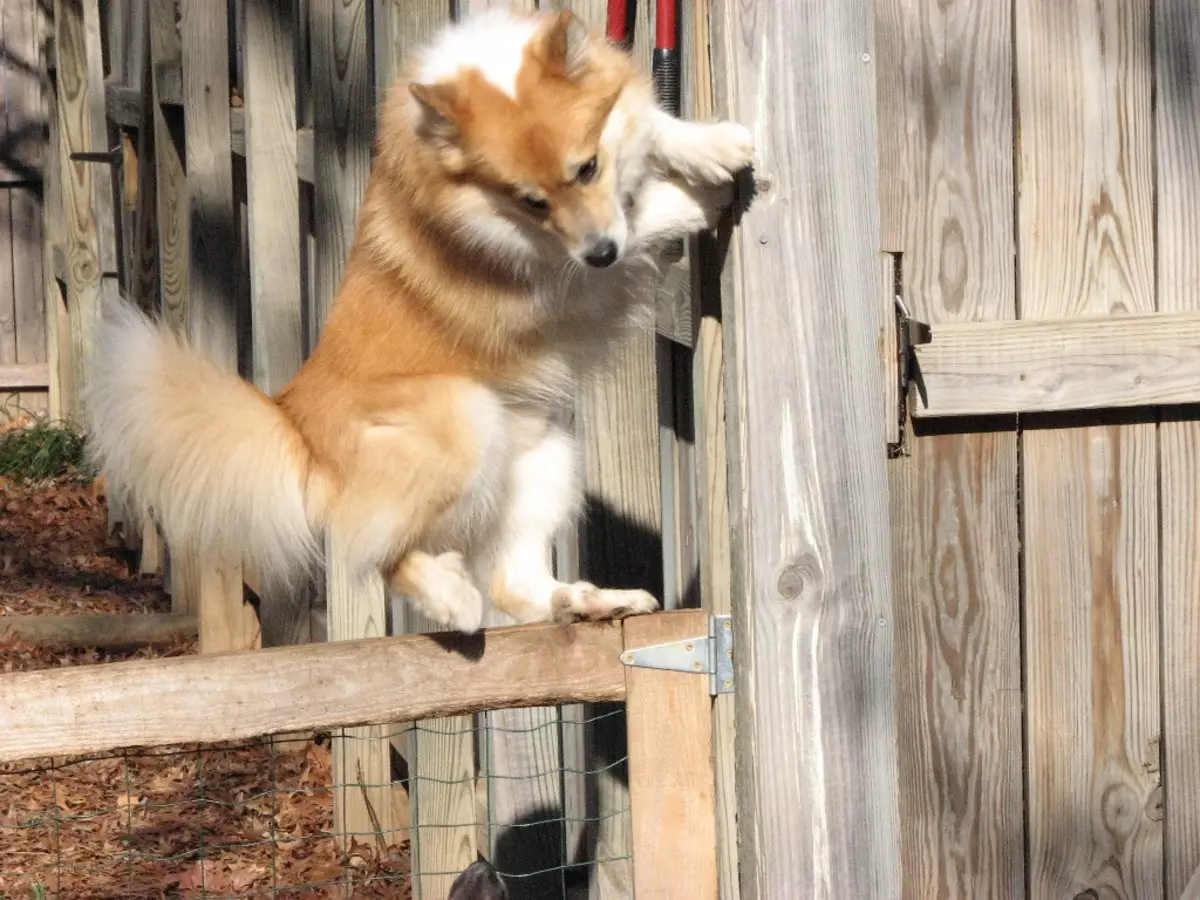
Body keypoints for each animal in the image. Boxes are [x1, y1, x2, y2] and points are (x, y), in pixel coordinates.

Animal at [87, 10, 748, 638]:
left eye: (587, 168)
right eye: (530, 201)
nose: (602, 253)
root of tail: (294, 420)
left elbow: (653, 125)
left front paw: (710, 146)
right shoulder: (552, 269)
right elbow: (640, 216)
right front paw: (697, 200)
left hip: (545, 454)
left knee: (516, 584)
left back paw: (590, 602)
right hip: (465, 422)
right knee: (375, 551)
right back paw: (452, 598)